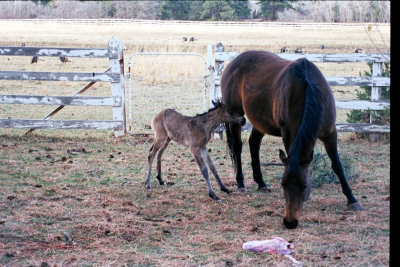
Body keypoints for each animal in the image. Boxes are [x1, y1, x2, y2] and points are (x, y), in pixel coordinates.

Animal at [222, 51, 362, 229]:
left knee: (254, 144)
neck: (309, 90)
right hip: (236, 114)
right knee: (238, 148)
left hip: (261, 121)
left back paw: (261, 183)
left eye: (304, 185)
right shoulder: (287, 132)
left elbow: (337, 166)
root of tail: (233, 63)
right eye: (283, 184)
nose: (290, 222)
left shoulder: (330, 133)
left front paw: (352, 199)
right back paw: (241, 183)